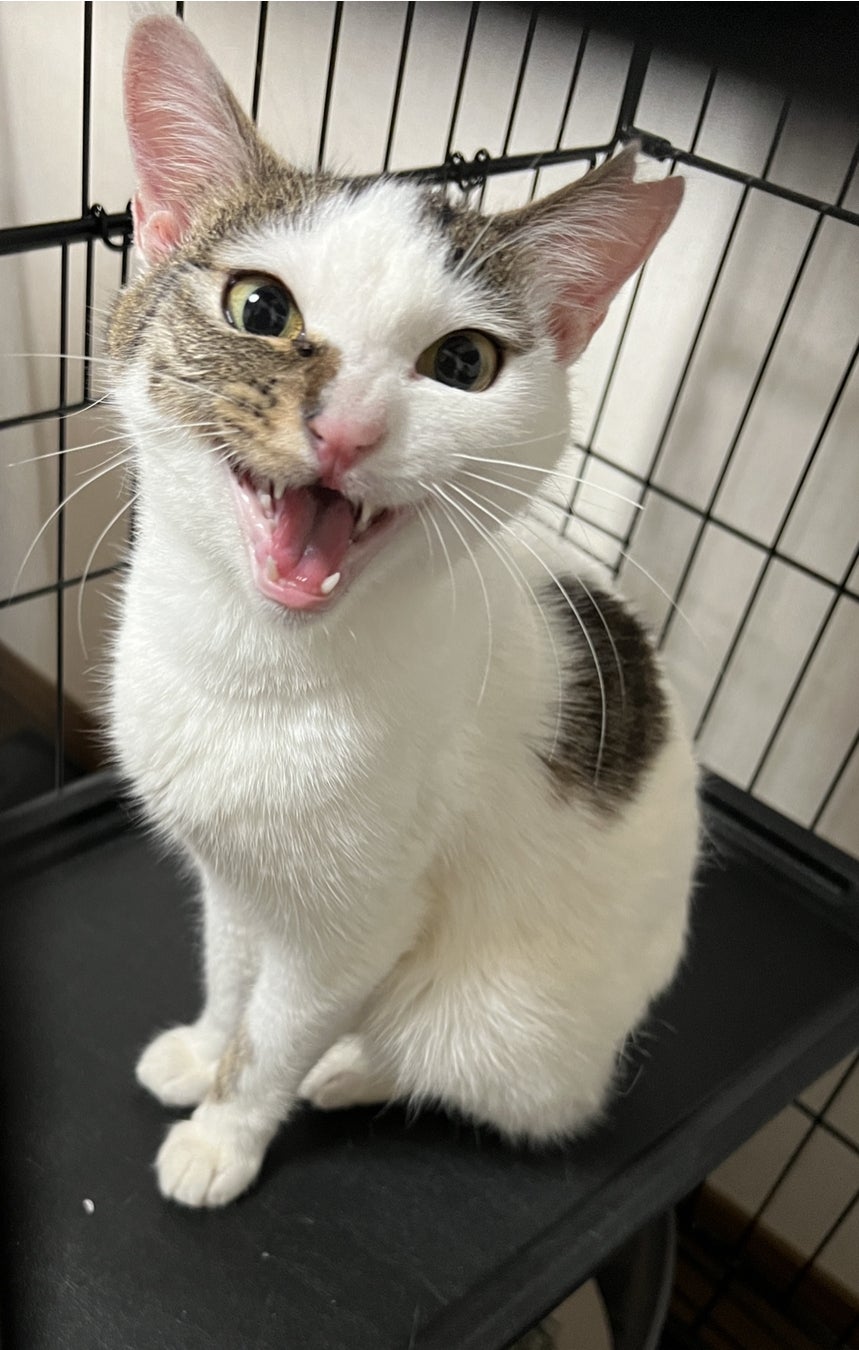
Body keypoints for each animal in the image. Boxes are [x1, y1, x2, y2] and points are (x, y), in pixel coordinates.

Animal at [108, 15, 699, 1208]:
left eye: (462, 363)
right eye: (259, 308)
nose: (348, 429)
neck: (252, 665)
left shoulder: (357, 925)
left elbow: (278, 1032)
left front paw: (226, 1133)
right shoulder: (234, 879)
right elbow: (231, 972)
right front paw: (202, 1047)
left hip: (509, 1022)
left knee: (503, 1088)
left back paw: (347, 1070)